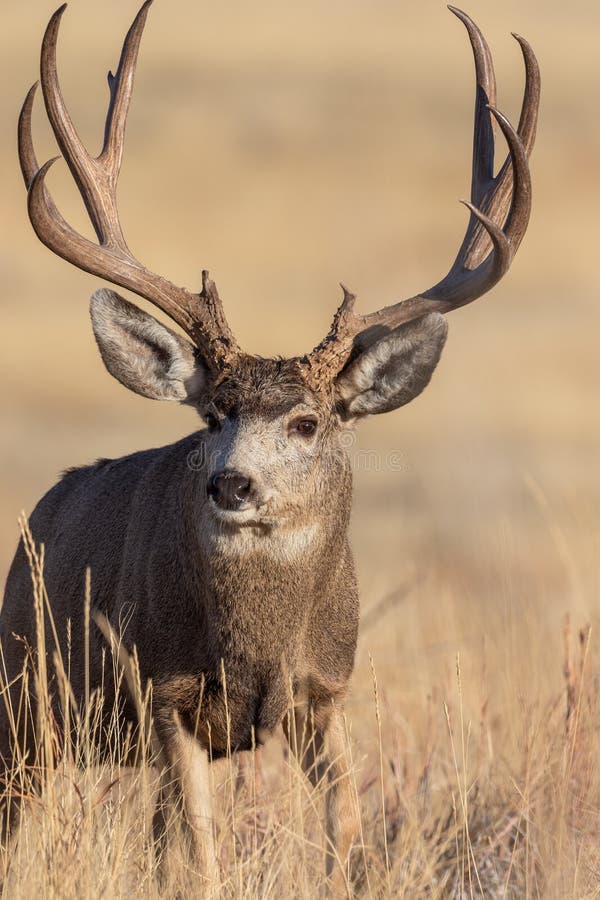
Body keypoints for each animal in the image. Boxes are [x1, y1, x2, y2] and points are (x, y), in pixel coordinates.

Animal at [2, 0, 540, 884]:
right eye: (212, 414)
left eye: (307, 422)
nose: (231, 484)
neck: (257, 641)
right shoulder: (163, 691)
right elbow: (202, 851)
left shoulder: (324, 692)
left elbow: (344, 828)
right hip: (27, 699)